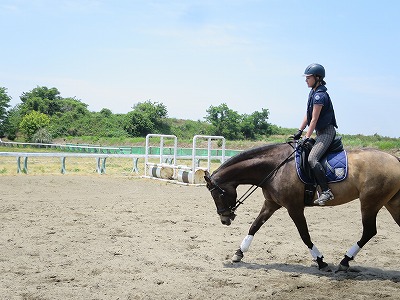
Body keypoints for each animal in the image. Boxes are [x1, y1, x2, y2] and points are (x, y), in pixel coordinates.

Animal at [205, 142, 400, 272]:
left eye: (217, 194)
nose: (224, 219)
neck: (275, 168)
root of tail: (395, 159)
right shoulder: (271, 204)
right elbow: (254, 226)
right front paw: (239, 253)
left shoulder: (294, 208)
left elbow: (304, 235)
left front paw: (320, 261)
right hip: (391, 203)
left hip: (370, 203)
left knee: (369, 231)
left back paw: (345, 261)